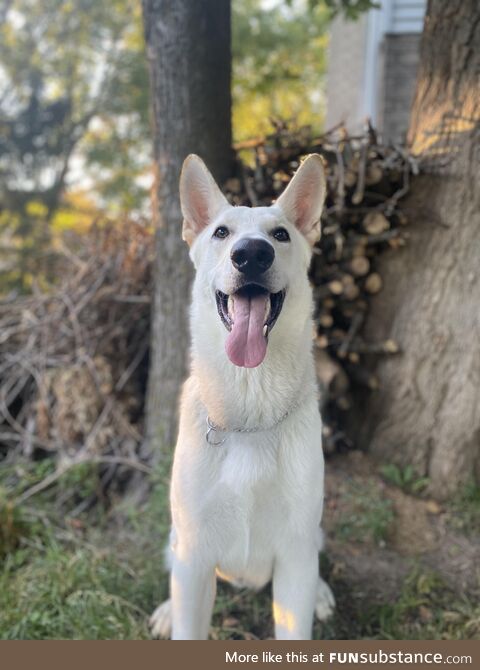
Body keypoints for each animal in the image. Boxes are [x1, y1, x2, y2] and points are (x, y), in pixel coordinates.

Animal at [150, 155, 334, 644]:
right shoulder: (195, 560)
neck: (251, 411)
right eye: (221, 232)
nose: (252, 254)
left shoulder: (294, 559)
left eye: (281, 234)